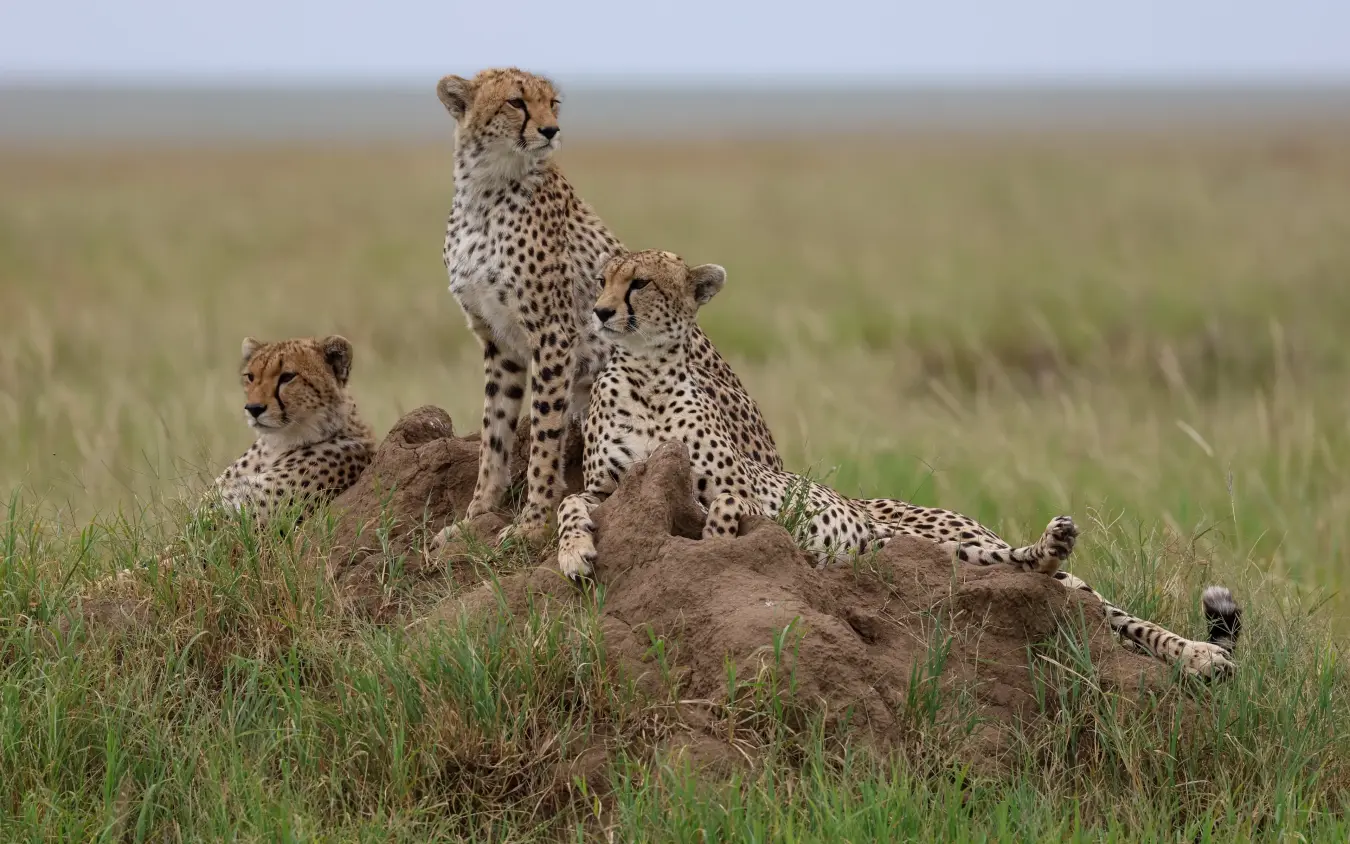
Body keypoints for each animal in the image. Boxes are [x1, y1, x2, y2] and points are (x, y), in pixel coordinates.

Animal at [430, 67, 780, 551]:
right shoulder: (498, 341)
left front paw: (531, 524)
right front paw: (475, 517)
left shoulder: (553, 334)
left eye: (553, 103)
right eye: (516, 102)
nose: (551, 130)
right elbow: (494, 435)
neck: (487, 186)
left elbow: (544, 438)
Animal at [555, 250, 1241, 680]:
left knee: (1084, 596)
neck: (647, 376)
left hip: (954, 546)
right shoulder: (607, 489)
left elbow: (723, 516)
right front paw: (575, 554)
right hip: (935, 555)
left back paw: (1194, 651)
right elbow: (568, 503)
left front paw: (712, 558)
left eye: (639, 283)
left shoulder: (738, 489)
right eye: (604, 280)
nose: (601, 312)